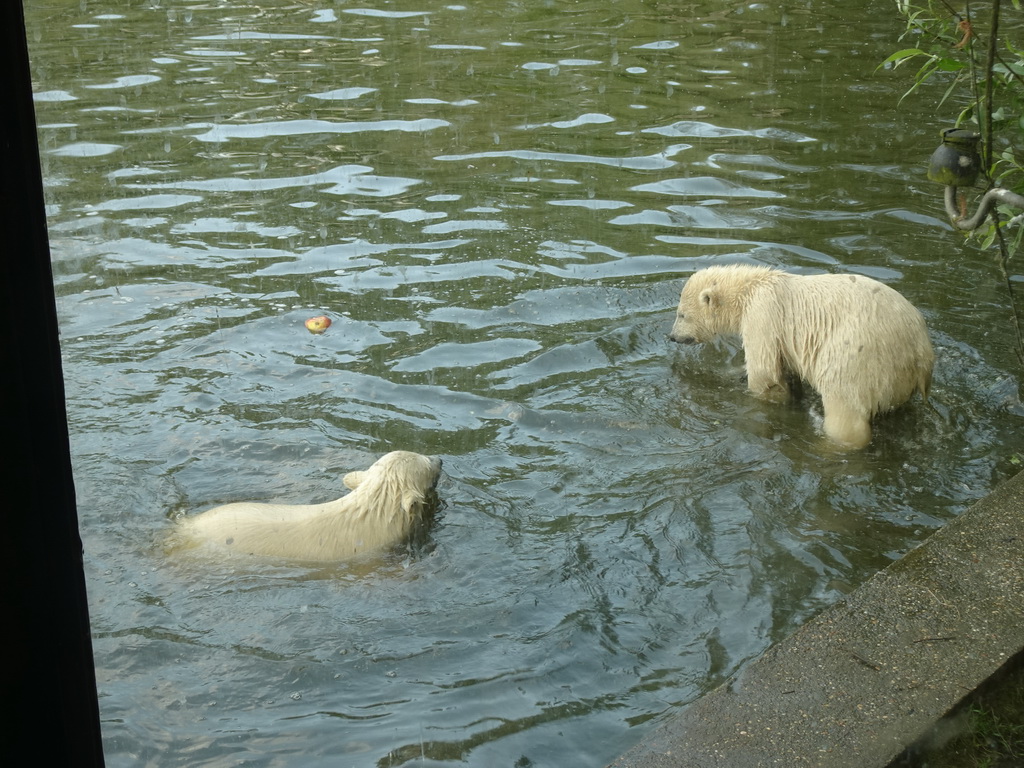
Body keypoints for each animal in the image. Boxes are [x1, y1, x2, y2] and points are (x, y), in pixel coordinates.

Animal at [667, 264, 933, 450]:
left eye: (681, 315)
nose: (672, 337)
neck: (750, 288)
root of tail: (919, 349)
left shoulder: (763, 314)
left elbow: (764, 371)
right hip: (897, 377)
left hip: (857, 355)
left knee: (844, 407)